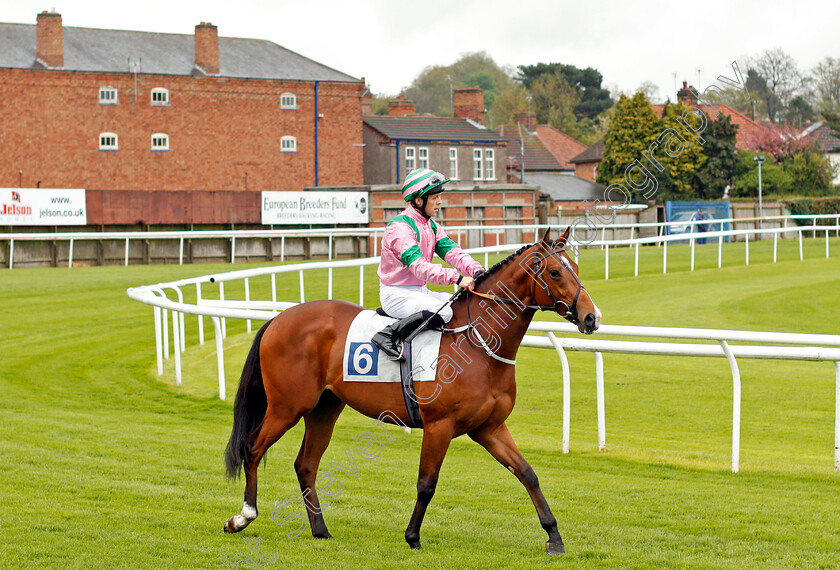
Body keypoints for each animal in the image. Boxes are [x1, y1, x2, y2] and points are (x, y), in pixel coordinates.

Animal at [223, 225, 596, 552]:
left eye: (576, 267)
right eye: (554, 273)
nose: (591, 317)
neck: (477, 343)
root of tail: (278, 319)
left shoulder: (489, 428)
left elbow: (528, 474)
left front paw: (554, 536)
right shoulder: (439, 426)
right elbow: (426, 484)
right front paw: (413, 536)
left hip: (323, 409)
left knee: (306, 465)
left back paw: (320, 529)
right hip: (287, 407)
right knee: (253, 448)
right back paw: (242, 517)